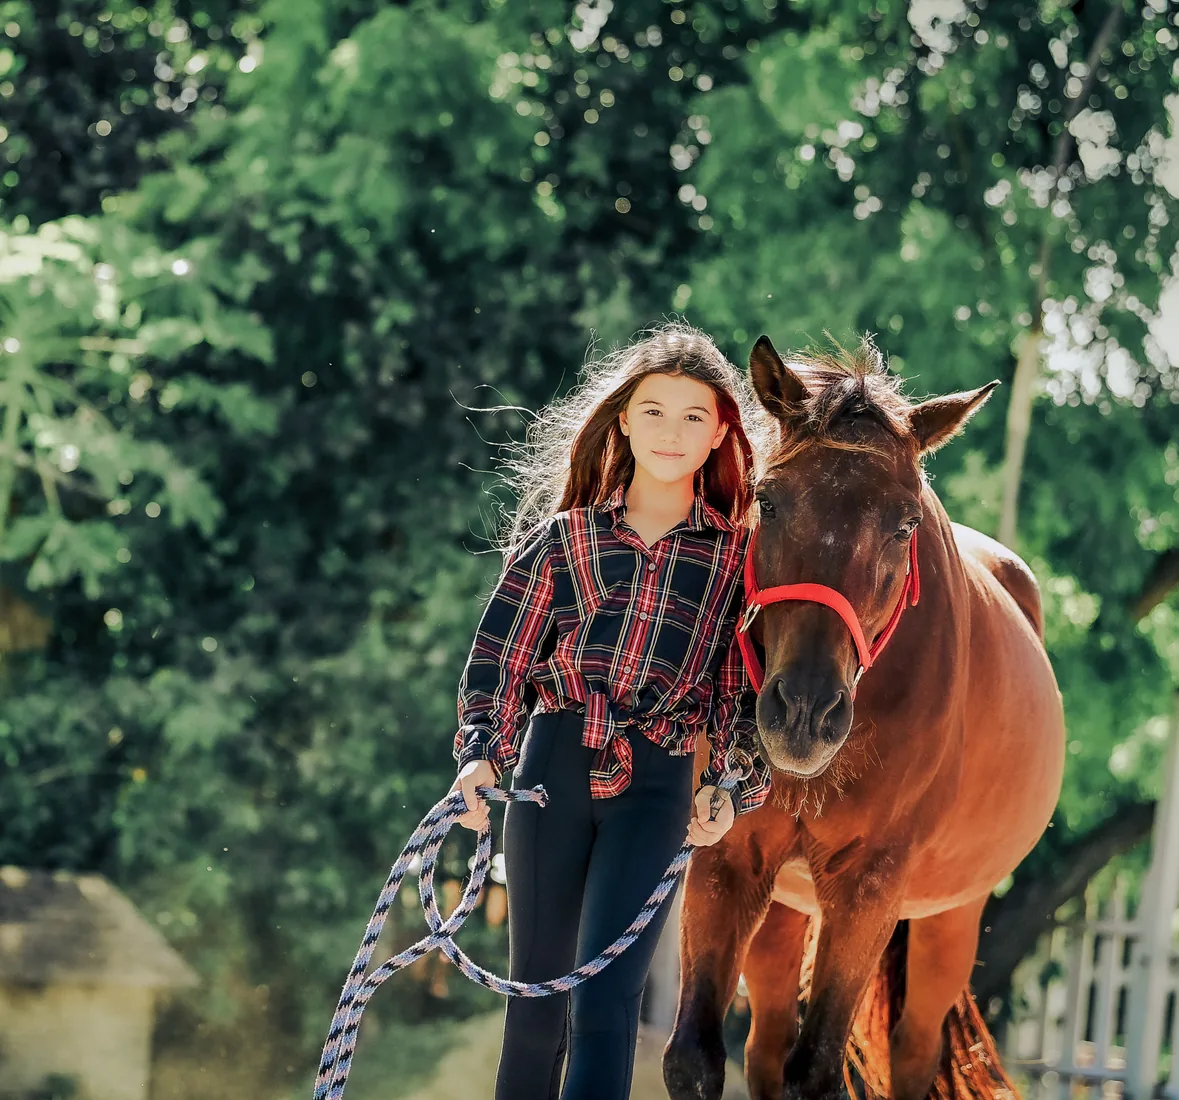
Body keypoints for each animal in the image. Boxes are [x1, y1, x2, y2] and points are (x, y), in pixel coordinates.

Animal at [662, 335, 1065, 1100]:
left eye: (904, 525)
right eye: (768, 500)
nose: (802, 710)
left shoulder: (867, 886)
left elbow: (815, 1069)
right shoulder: (724, 859)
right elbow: (694, 1059)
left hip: (950, 920)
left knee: (913, 1051)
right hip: (785, 904)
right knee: (765, 1044)